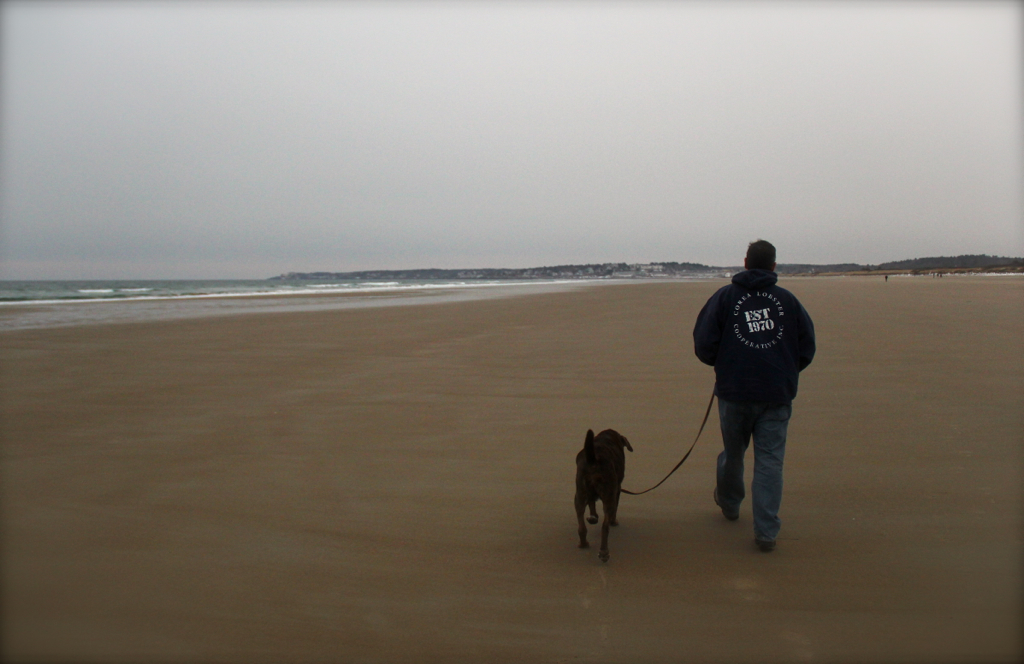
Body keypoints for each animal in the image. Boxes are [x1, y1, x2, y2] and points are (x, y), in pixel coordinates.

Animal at [577, 430, 630, 561]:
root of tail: (593, 461)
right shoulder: (617, 489)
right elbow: (614, 508)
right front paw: (613, 521)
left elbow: (592, 503)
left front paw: (593, 517)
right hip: (609, 495)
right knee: (605, 527)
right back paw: (604, 552)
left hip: (579, 493)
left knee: (581, 524)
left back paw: (583, 544)